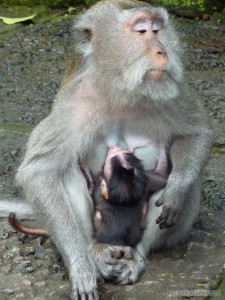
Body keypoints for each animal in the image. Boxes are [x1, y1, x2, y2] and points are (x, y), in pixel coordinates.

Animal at [8, 145, 168, 246]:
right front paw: (165, 145)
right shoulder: (145, 180)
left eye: (110, 159)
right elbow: (162, 176)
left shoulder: (100, 186)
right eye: (119, 154)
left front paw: (83, 166)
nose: (115, 147)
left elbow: (92, 188)